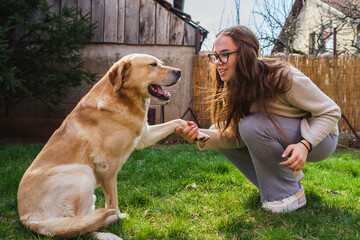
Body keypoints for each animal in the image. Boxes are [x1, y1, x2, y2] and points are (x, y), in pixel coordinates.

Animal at [16, 53, 208, 239]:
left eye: (160, 62)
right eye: (153, 65)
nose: (179, 71)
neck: (124, 100)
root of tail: (28, 218)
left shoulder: (144, 135)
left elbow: (178, 120)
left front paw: (197, 133)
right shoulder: (107, 167)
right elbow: (113, 201)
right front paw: (119, 216)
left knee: (79, 224)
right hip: (83, 172)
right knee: (77, 225)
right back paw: (111, 223)